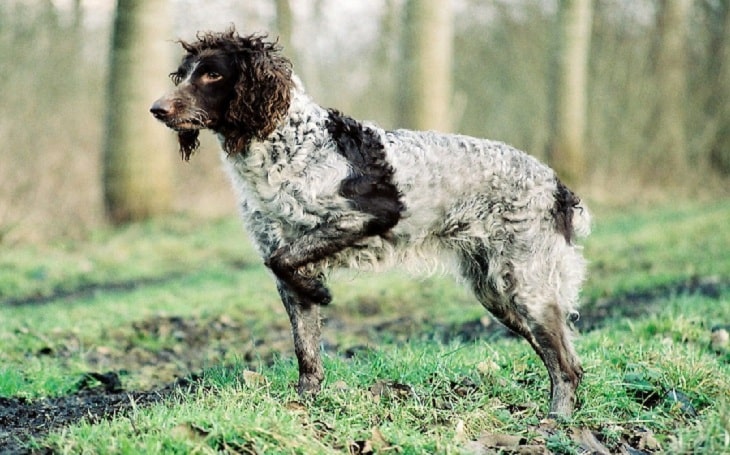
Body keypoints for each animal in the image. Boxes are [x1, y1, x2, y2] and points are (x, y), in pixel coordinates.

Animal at [151, 28, 588, 418]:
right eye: (184, 73)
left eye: (213, 74)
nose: (156, 109)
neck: (286, 146)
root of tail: (558, 186)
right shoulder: (288, 266)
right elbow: (304, 346)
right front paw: (306, 404)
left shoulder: (371, 213)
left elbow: (282, 259)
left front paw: (321, 291)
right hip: (497, 292)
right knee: (563, 357)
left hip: (526, 285)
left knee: (565, 365)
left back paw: (557, 422)